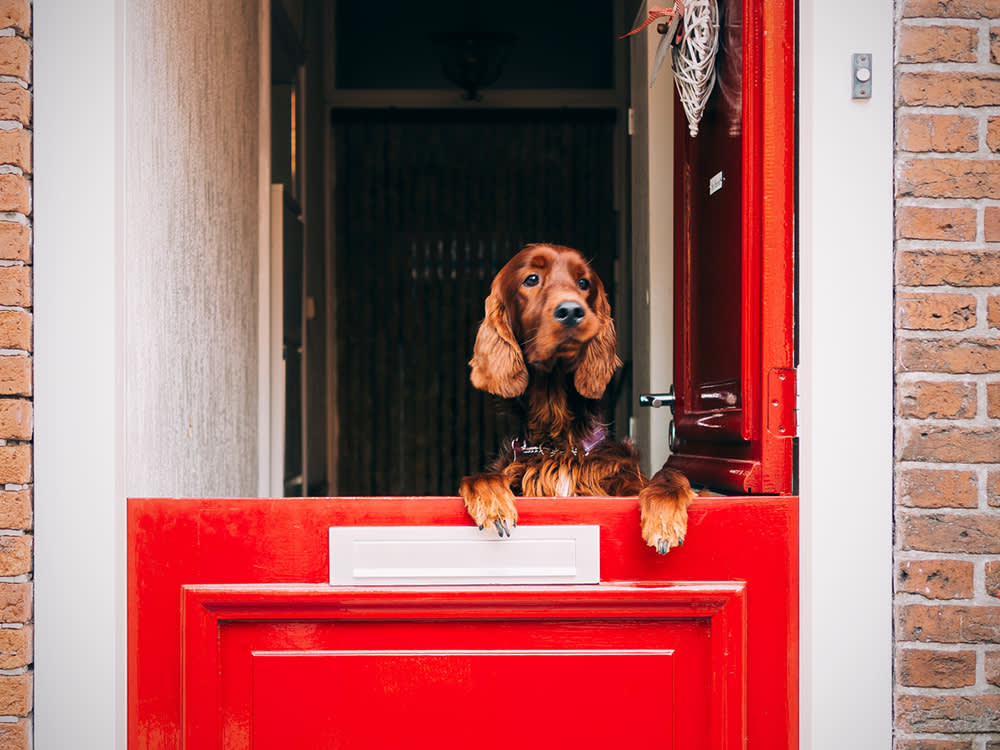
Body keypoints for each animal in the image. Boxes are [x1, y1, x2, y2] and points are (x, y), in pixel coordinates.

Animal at [458, 244, 692, 556]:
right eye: (531, 279)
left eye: (583, 283)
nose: (571, 311)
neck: (558, 444)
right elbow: (480, 477)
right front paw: (493, 502)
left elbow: (668, 475)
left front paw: (664, 516)